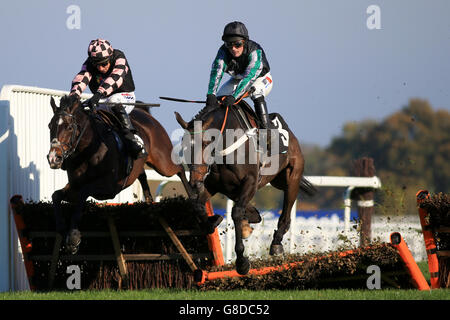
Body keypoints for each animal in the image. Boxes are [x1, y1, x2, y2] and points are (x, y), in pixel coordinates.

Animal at [47, 95, 193, 252]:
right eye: (50, 126)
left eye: (69, 127)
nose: (53, 158)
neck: (87, 150)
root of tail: (145, 113)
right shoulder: (75, 186)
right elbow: (56, 195)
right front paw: (62, 229)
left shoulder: (109, 188)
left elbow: (84, 192)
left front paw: (73, 236)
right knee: (143, 176)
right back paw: (149, 201)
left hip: (162, 162)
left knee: (180, 169)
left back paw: (193, 196)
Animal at [175, 99, 316, 276]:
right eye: (184, 146)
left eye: (206, 143)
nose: (194, 181)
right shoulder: (213, 184)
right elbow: (198, 206)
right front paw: (215, 220)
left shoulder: (250, 181)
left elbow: (236, 212)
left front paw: (242, 261)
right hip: (275, 181)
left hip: (292, 177)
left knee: (286, 211)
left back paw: (276, 243)